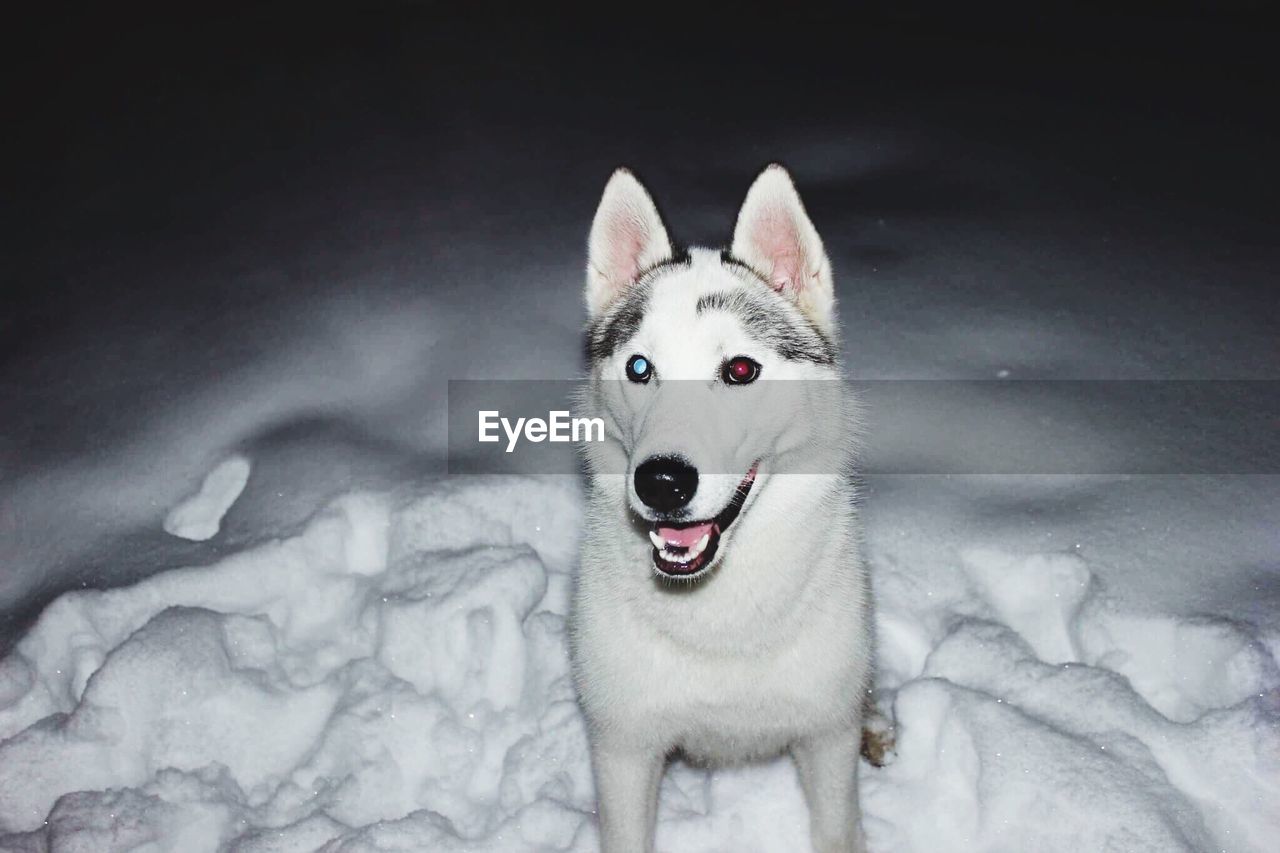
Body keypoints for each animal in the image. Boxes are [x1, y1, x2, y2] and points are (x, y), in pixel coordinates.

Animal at [576, 162, 875, 845]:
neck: (719, 618)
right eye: (640, 368)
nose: (661, 481)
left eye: (740, 370)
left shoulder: (827, 736)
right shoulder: (623, 747)